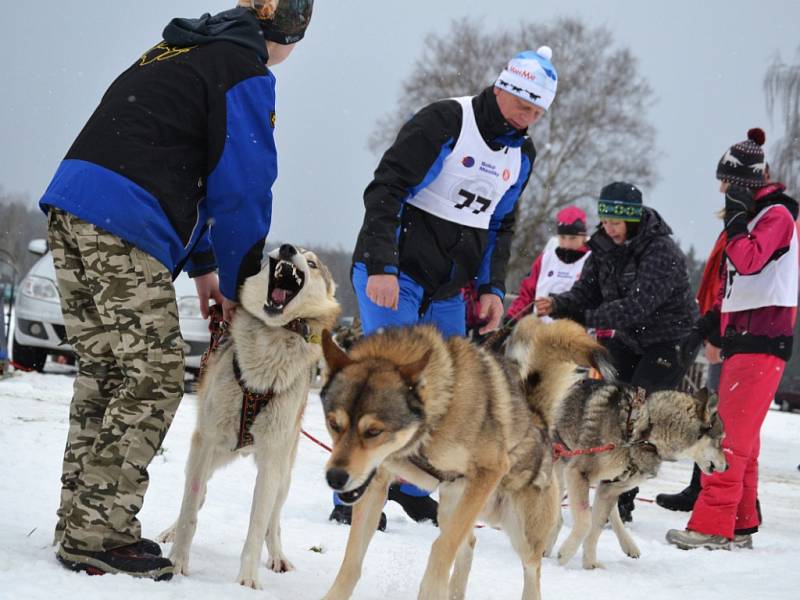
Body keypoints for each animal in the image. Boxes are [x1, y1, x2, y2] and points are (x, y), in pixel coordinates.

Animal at [161, 245, 340, 592]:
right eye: (283, 249)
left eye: (311, 262)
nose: (287, 249)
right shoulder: (205, 442)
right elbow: (190, 508)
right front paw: (177, 561)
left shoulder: (270, 462)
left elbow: (258, 525)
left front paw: (247, 580)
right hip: (209, 454)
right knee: (198, 493)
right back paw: (171, 531)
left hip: (283, 473)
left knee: (274, 520)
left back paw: (278, 556)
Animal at [318, 316, 612, 596]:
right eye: (334, 424)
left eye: (373, 431)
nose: (335, 477)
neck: (438, 415)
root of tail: (538, 418)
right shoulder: (375, 485)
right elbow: (352, 561)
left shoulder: (489, 471)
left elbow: (442, 547)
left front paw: (431, 590)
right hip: (453, 505)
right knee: (468, 543)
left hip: (520, 529)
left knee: (530, 568)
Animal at [552, 378, 728, 568]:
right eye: (720, 440)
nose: (727, 467)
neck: (646, 432)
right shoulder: (578, 473)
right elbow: (585, 522)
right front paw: (566, 553)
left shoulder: (609, 488)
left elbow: (595, 527)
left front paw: (590, 564)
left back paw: (628, 545)